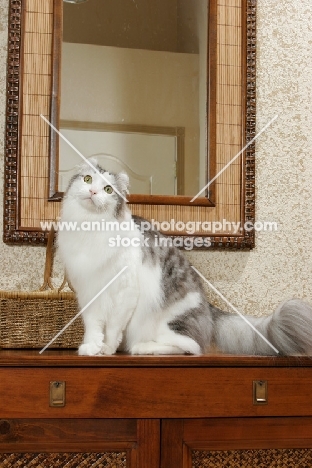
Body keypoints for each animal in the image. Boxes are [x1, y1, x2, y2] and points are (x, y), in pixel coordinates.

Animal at [57, 159, 312, 356]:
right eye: (87, 179)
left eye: (108, 190)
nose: (93, 192)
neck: (90, 229)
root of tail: (208, 307)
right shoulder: (88, 292)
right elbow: (93, 327)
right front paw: (90, 348)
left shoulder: (124, 291)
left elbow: (112, 329)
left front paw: (106, 350)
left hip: (169, 322)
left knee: (191, 347)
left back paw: (142, 348)